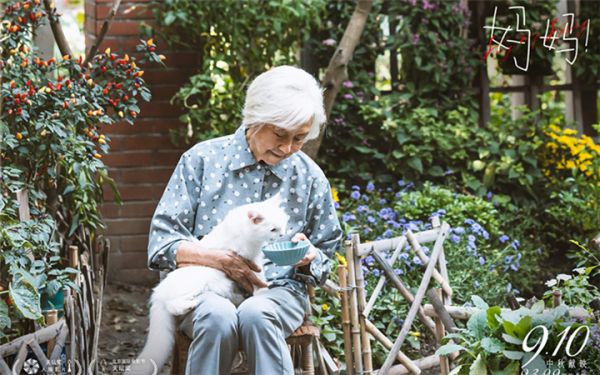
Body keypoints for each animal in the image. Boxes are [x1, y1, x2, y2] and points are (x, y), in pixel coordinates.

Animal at [130, 195, 290, 374]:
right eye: (273, 229)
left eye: (284, 223)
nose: (283, 234)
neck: (245, 231)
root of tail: (157, 293)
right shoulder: (248, 260)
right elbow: (258, 278)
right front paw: (263, 290)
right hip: (197, 284)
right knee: (172, 305)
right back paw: (188, 305)